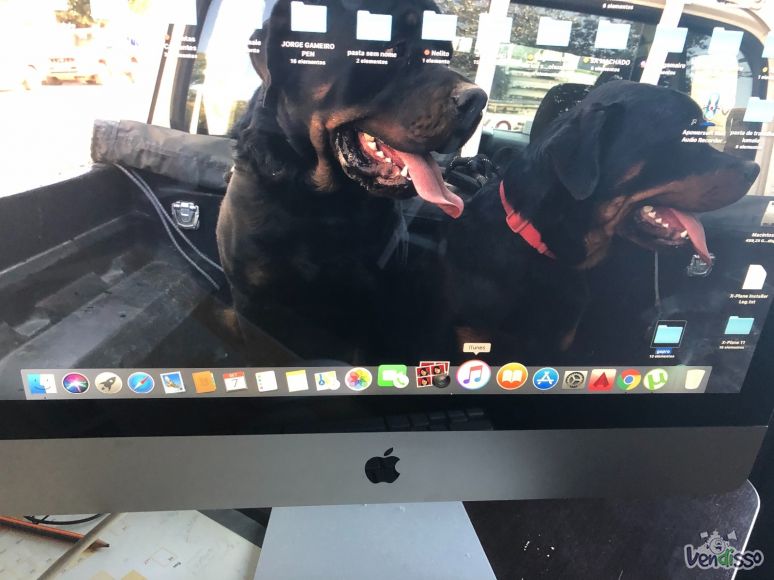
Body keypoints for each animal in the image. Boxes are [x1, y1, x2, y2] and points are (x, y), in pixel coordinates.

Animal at [216, 0, 486, 362]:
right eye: (392, 49)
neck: (325, 203)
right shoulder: (254, 307)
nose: (478, 99)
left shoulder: (374, 304)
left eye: (444, 53)